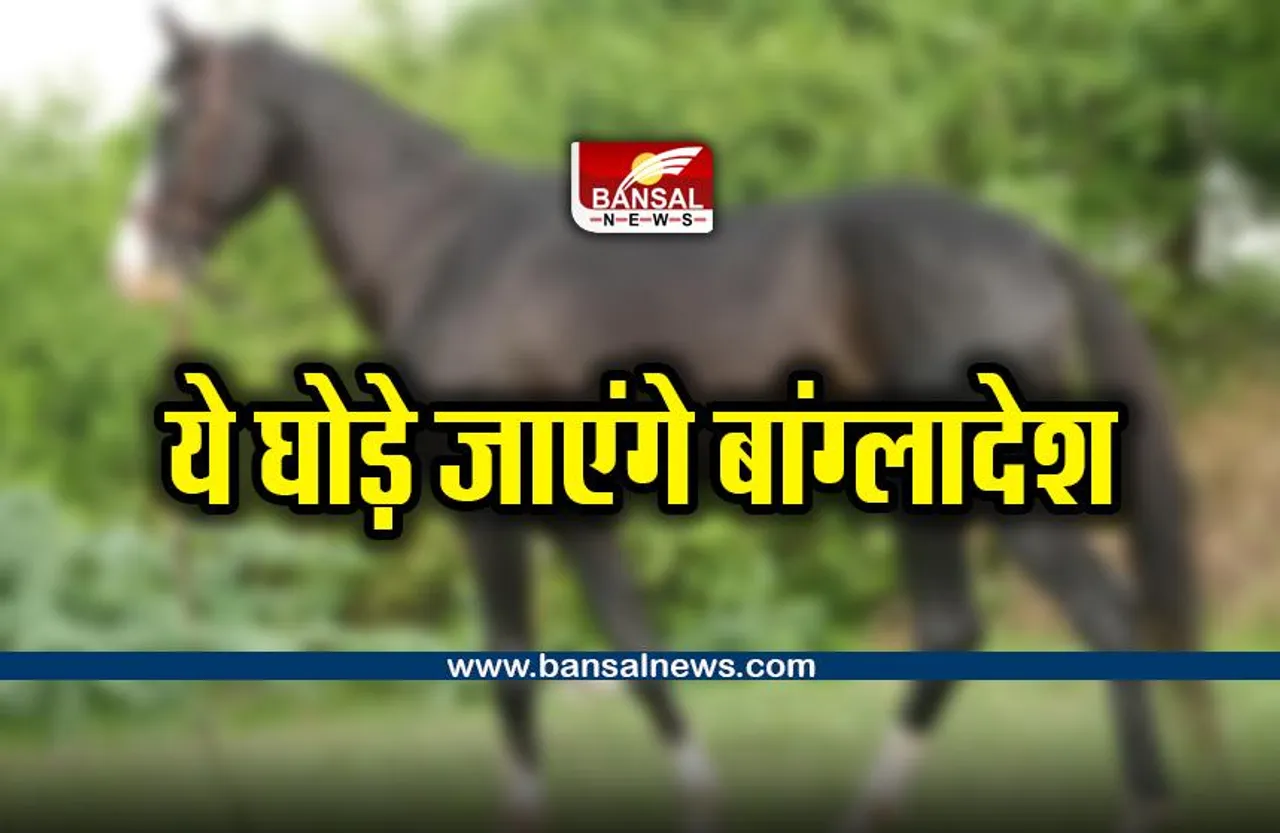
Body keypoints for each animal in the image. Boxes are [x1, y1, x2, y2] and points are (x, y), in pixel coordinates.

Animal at [108, 10, 1217, 833]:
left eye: (176, 120)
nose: (136, 264)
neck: (448, 245)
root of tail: (1033, 244)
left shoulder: (490, 513)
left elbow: (513, 663)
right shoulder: (569, 510)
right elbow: (631, 643)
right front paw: (701, 801)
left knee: (1104, 614)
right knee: (951, 629)